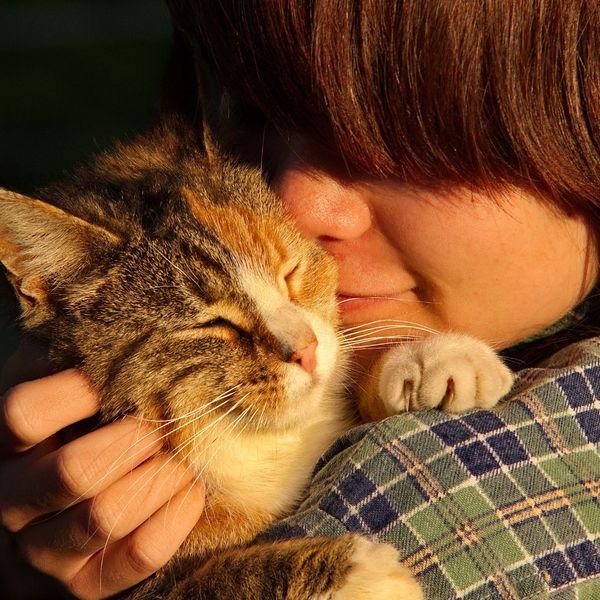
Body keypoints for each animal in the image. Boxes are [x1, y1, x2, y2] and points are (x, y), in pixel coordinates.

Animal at [0, 117, 512, 600]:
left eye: (290, 270)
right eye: (213, 323)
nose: (306, 350)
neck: (245, 442)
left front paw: (433, 361)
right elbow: (213, 581)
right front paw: (356, 574)